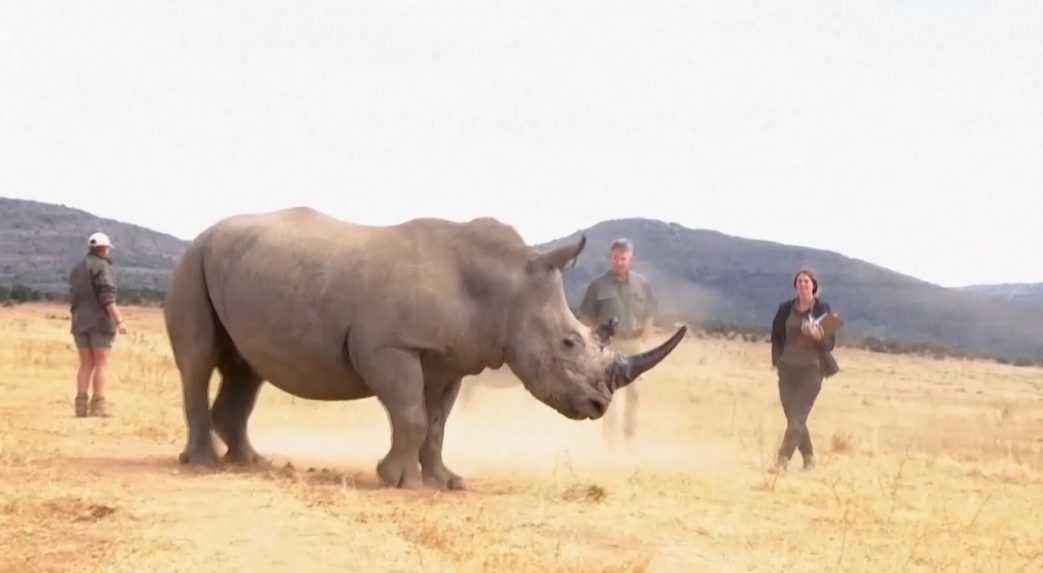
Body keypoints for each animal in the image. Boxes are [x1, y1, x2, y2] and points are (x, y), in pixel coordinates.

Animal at [160, 207, 684, 488]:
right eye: (570, 342)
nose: (599, 404)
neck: (504, 285)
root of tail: (206, 232)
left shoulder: (452, 362)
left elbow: (436, 423)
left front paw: (445, 481)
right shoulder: (389, 346)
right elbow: (410, 414)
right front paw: (396, 480)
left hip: (234, 265)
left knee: (246, 369)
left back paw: (250, 461)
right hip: (192, 261)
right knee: (199, 361)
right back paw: (203, 463)